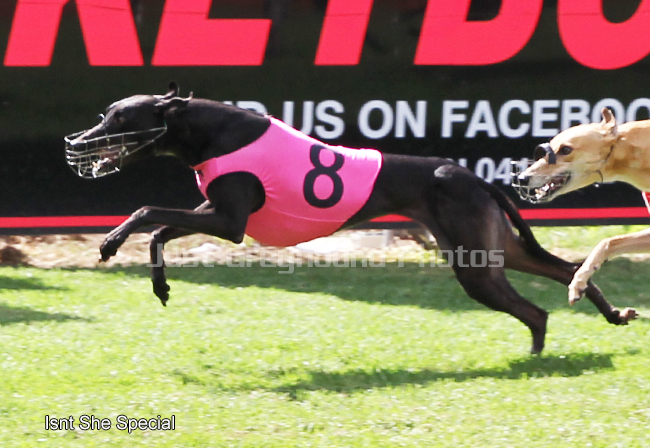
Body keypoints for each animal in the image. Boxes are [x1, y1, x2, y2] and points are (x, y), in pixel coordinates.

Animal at [64, 83, 636, 354]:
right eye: (104, 115)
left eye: (119, 118)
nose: (79, 143)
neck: (211, 129)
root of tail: (473, 176)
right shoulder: (213, 213)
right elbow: (160, 228)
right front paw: (159, 285)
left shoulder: (228, 222)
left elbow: (147, 211)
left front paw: (110, 243)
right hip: (492, 249)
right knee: (567, 272)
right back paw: (609, 316)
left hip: (475, 265)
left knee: (536, 309)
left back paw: (537, 351)